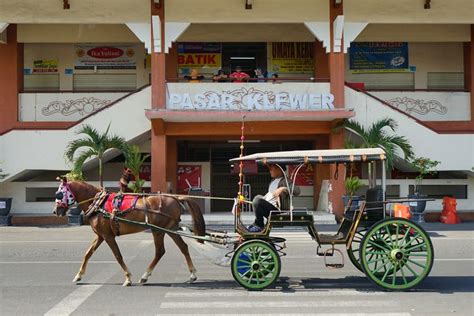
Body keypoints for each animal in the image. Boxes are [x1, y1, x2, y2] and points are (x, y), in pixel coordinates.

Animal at [53, 177, 206, 288]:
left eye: (59, 193)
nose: (55, 211)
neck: (98, 204)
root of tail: (176, 198)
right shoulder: (101, 236)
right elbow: (88, 253)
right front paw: (79, 275)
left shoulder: (108, 236)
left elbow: (118, 256)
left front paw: (128, 278)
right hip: (171, 229)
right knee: (183, 247)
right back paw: (192, 274)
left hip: (158, 230)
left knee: (160, 251)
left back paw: (145, 276)